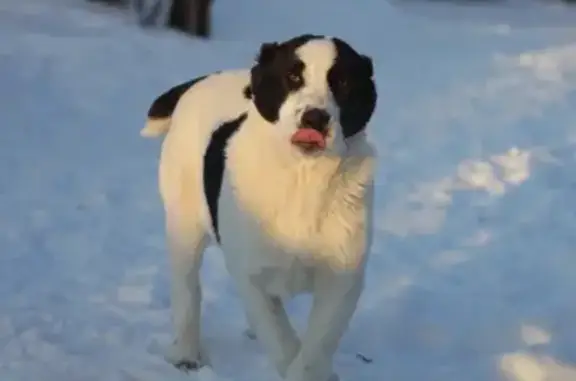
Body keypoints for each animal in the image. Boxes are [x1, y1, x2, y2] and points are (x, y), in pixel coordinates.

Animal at [141, 33, 378, 380]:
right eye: (293, 77)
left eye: (343, 83)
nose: (315, 118)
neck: (303, 178)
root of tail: (200, 81)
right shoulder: (252, 274)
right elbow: (281, 338)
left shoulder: (343, 277)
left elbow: (317, 344)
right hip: (184, 224)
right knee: (187, 289)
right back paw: (186, 354)